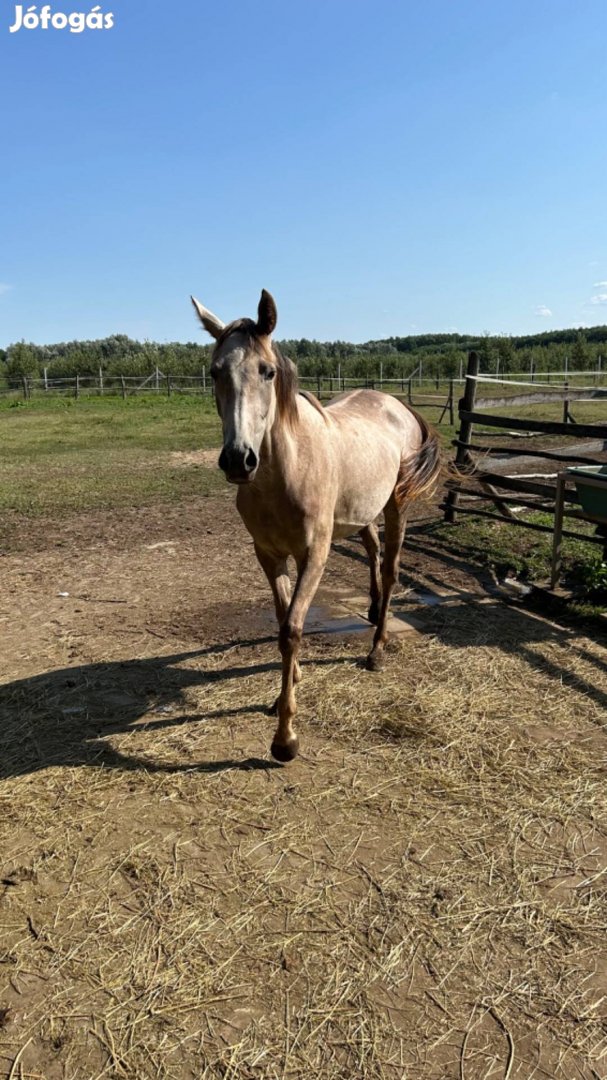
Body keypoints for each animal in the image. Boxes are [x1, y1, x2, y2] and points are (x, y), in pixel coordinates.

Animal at [189, 287, 438, 760]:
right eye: (214, 372)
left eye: (267, 372)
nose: (238, 460)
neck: (285, 470)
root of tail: (398, 405)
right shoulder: (268, 555)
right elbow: (281, 615)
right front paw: (288, 687)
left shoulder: (314, 555)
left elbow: (292, 628)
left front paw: (285, 737)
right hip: (362, 510)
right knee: (373, 550)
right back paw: (372, 609)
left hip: (396, 505)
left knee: (392, 568)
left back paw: (377, 650)